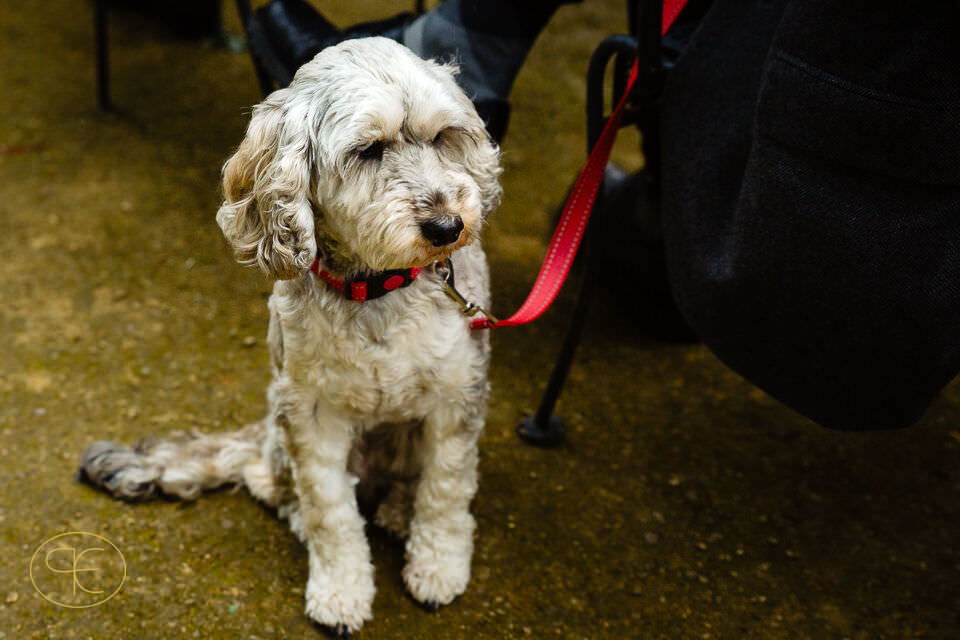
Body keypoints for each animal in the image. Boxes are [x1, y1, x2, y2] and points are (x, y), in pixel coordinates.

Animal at [78, 37, 502, 635]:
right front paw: (341, 589)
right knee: (272, 482)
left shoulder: (455, 397)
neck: (377, 289)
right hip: (280, 425)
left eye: (443, 137)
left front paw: (438, 566)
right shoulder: (309, 414)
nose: (448, 227)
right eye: (368, 150)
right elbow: (330, 510)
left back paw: (399, 508)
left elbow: (445, 489)